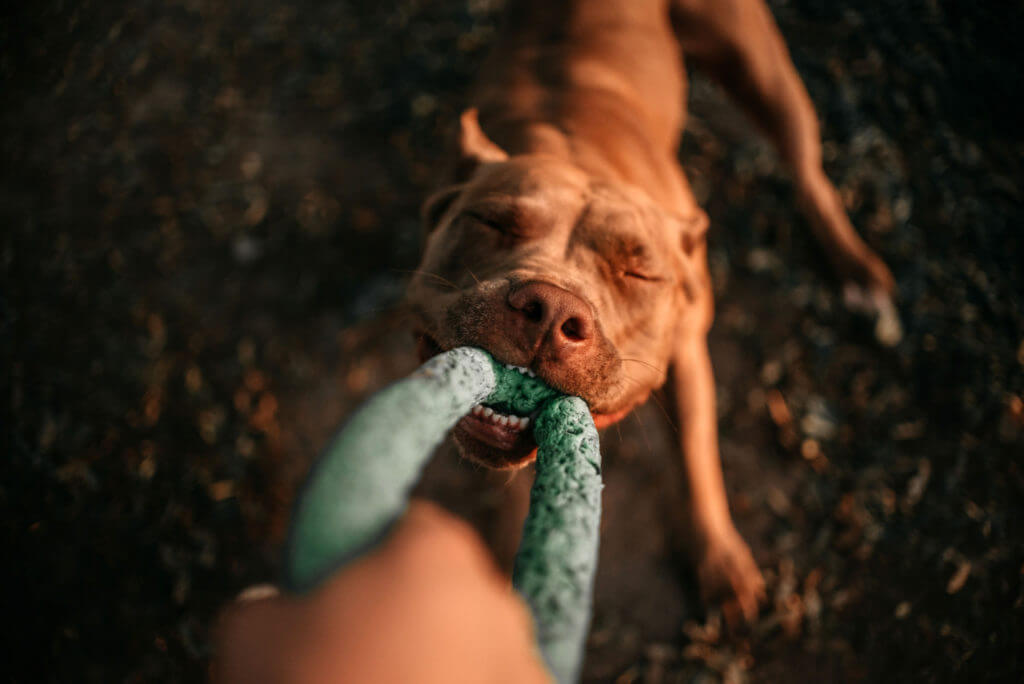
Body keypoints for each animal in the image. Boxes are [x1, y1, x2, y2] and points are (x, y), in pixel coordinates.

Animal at [403, 0, 892, 626]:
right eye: (491, 222)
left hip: (763, 74)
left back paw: (858, 271)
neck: (577, 148)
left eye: (640, 274)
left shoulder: (687, 354)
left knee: (808, 170)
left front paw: (719, 560)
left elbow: (695, 454)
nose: (551, 310)